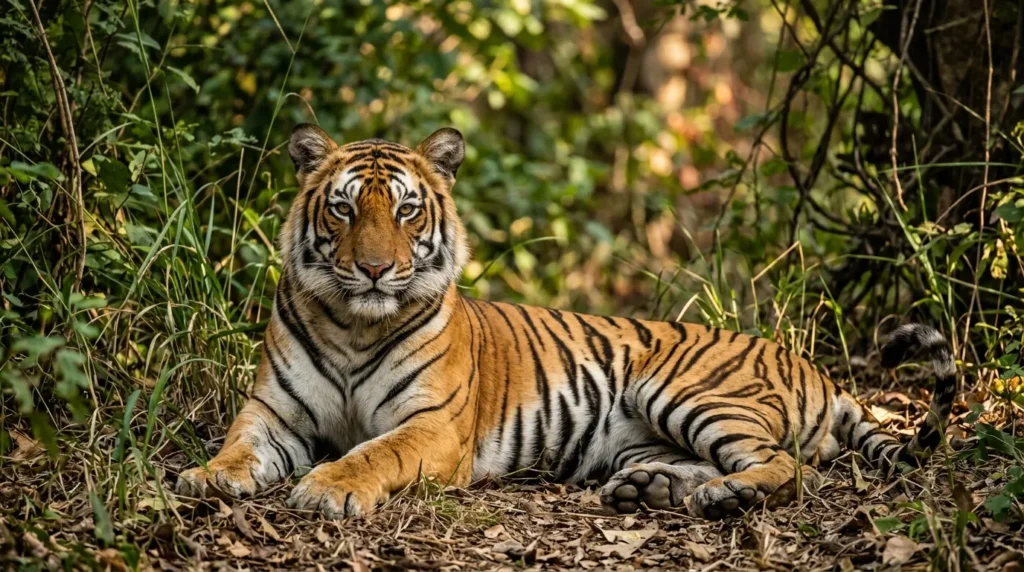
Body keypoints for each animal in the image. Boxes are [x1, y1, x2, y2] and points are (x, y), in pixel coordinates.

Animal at [175, 124, 958, 520]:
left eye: (406, 210)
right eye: (342, 209)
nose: (372, 269)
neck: (353, 325)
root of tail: (817, 370)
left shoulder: (434, 427)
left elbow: (374, 452)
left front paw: (329, 488)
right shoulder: (272, 412)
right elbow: (239, 448)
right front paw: (206, 478)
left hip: (686, 390)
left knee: (790, 469)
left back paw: (725, 497)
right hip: (641, 437)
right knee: (714, 463)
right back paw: (659, 491)